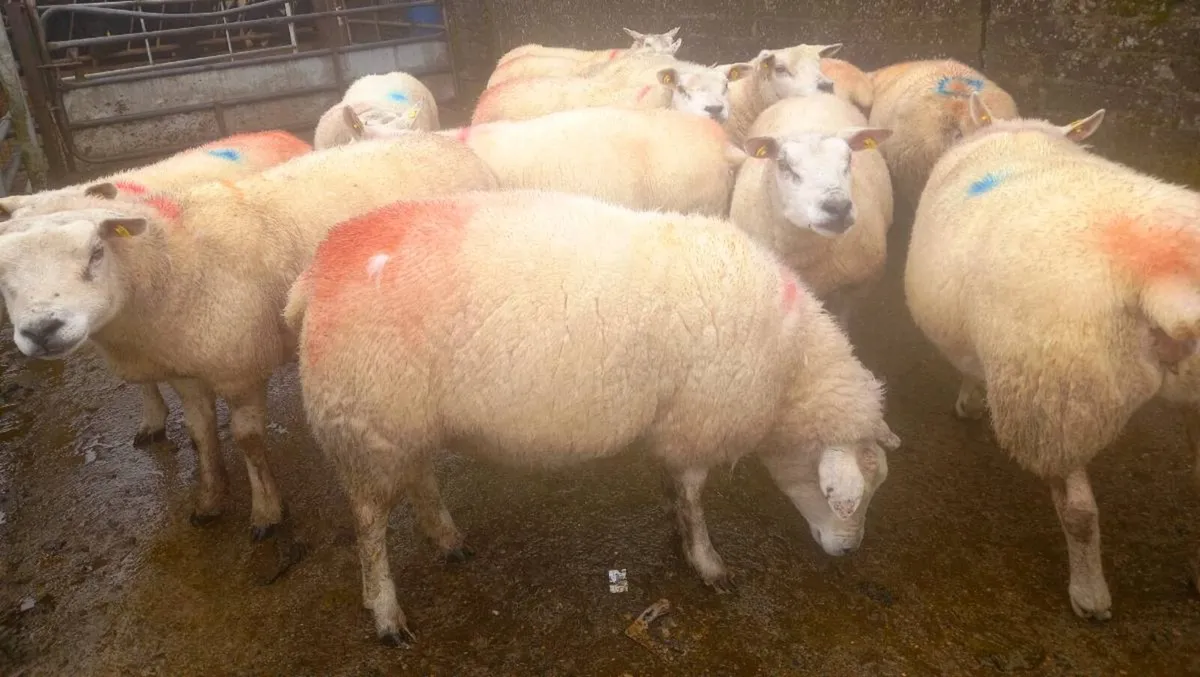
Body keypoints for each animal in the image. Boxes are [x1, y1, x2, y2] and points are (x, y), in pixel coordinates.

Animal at [283, 188, 902, 645]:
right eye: (842, 496)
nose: (850, 552)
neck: (788, 365)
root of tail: (318, 270)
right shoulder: (696, 422)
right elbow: (695, 497)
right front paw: (707, 562)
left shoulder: (675, 424)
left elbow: (678, 491)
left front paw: (679, 535)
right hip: (365, 424)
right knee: (370, 527)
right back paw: (386, 613)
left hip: (403, 422)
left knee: (421, 478)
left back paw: (447, 539)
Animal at [903, 90, 1200, 621]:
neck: (1024, 139)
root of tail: (1162, 278)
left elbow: (967, 365)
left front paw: (969, 401)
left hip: (1057, 396)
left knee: (1078, 513)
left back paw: (1089, 593)